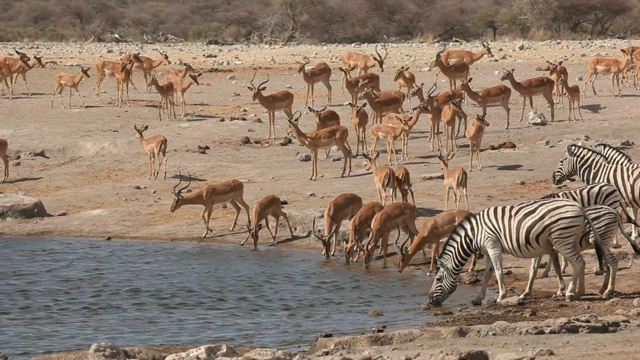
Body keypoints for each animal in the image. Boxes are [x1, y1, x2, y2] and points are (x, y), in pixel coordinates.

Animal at [424, 197, 604, 306]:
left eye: (438, 279)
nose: (430, 301)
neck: (474, 235)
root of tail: (579, 207)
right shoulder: (488, 250)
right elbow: (487, 274)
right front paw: (478, 298)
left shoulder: (493, 246)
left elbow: (498, 272)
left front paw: (501, 296)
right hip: (570, 240)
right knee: (581, 262)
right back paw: (578, 292)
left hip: (562, 240)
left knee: (578, 262)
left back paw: (570, 293)